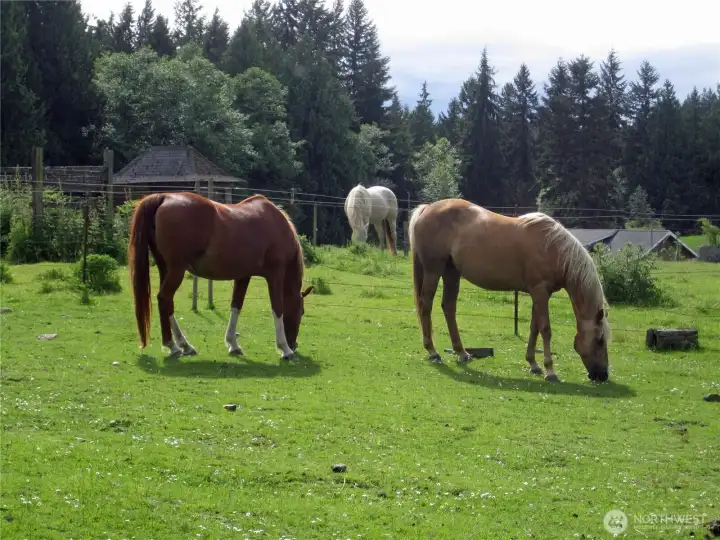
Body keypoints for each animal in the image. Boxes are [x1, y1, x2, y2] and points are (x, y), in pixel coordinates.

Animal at [128, 192, 314, 360]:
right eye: (301, 311)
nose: (294, 345)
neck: (277, 226)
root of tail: (164, 197)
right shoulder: (275, 275)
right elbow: (277, 308)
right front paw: (284, 348)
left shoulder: (243, 276)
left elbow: (236, 305)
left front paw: (233, 344)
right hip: (176, 270)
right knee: (164, 298)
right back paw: (172, 346)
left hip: (166, 269)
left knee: (168, 303)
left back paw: (184, 345)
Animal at [408, 198, 611, 383]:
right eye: (600, 340)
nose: (602, 375)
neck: (554, 250)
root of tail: (427, 208)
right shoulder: (540, 292)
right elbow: (545, 329)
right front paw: (550, 371)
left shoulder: (539, 294)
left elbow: (534, 327)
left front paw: (533, 364)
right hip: (434, 270)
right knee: (426, 305)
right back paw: (433, 351)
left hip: (451, 272)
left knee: (449, 307)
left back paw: (462, 352)